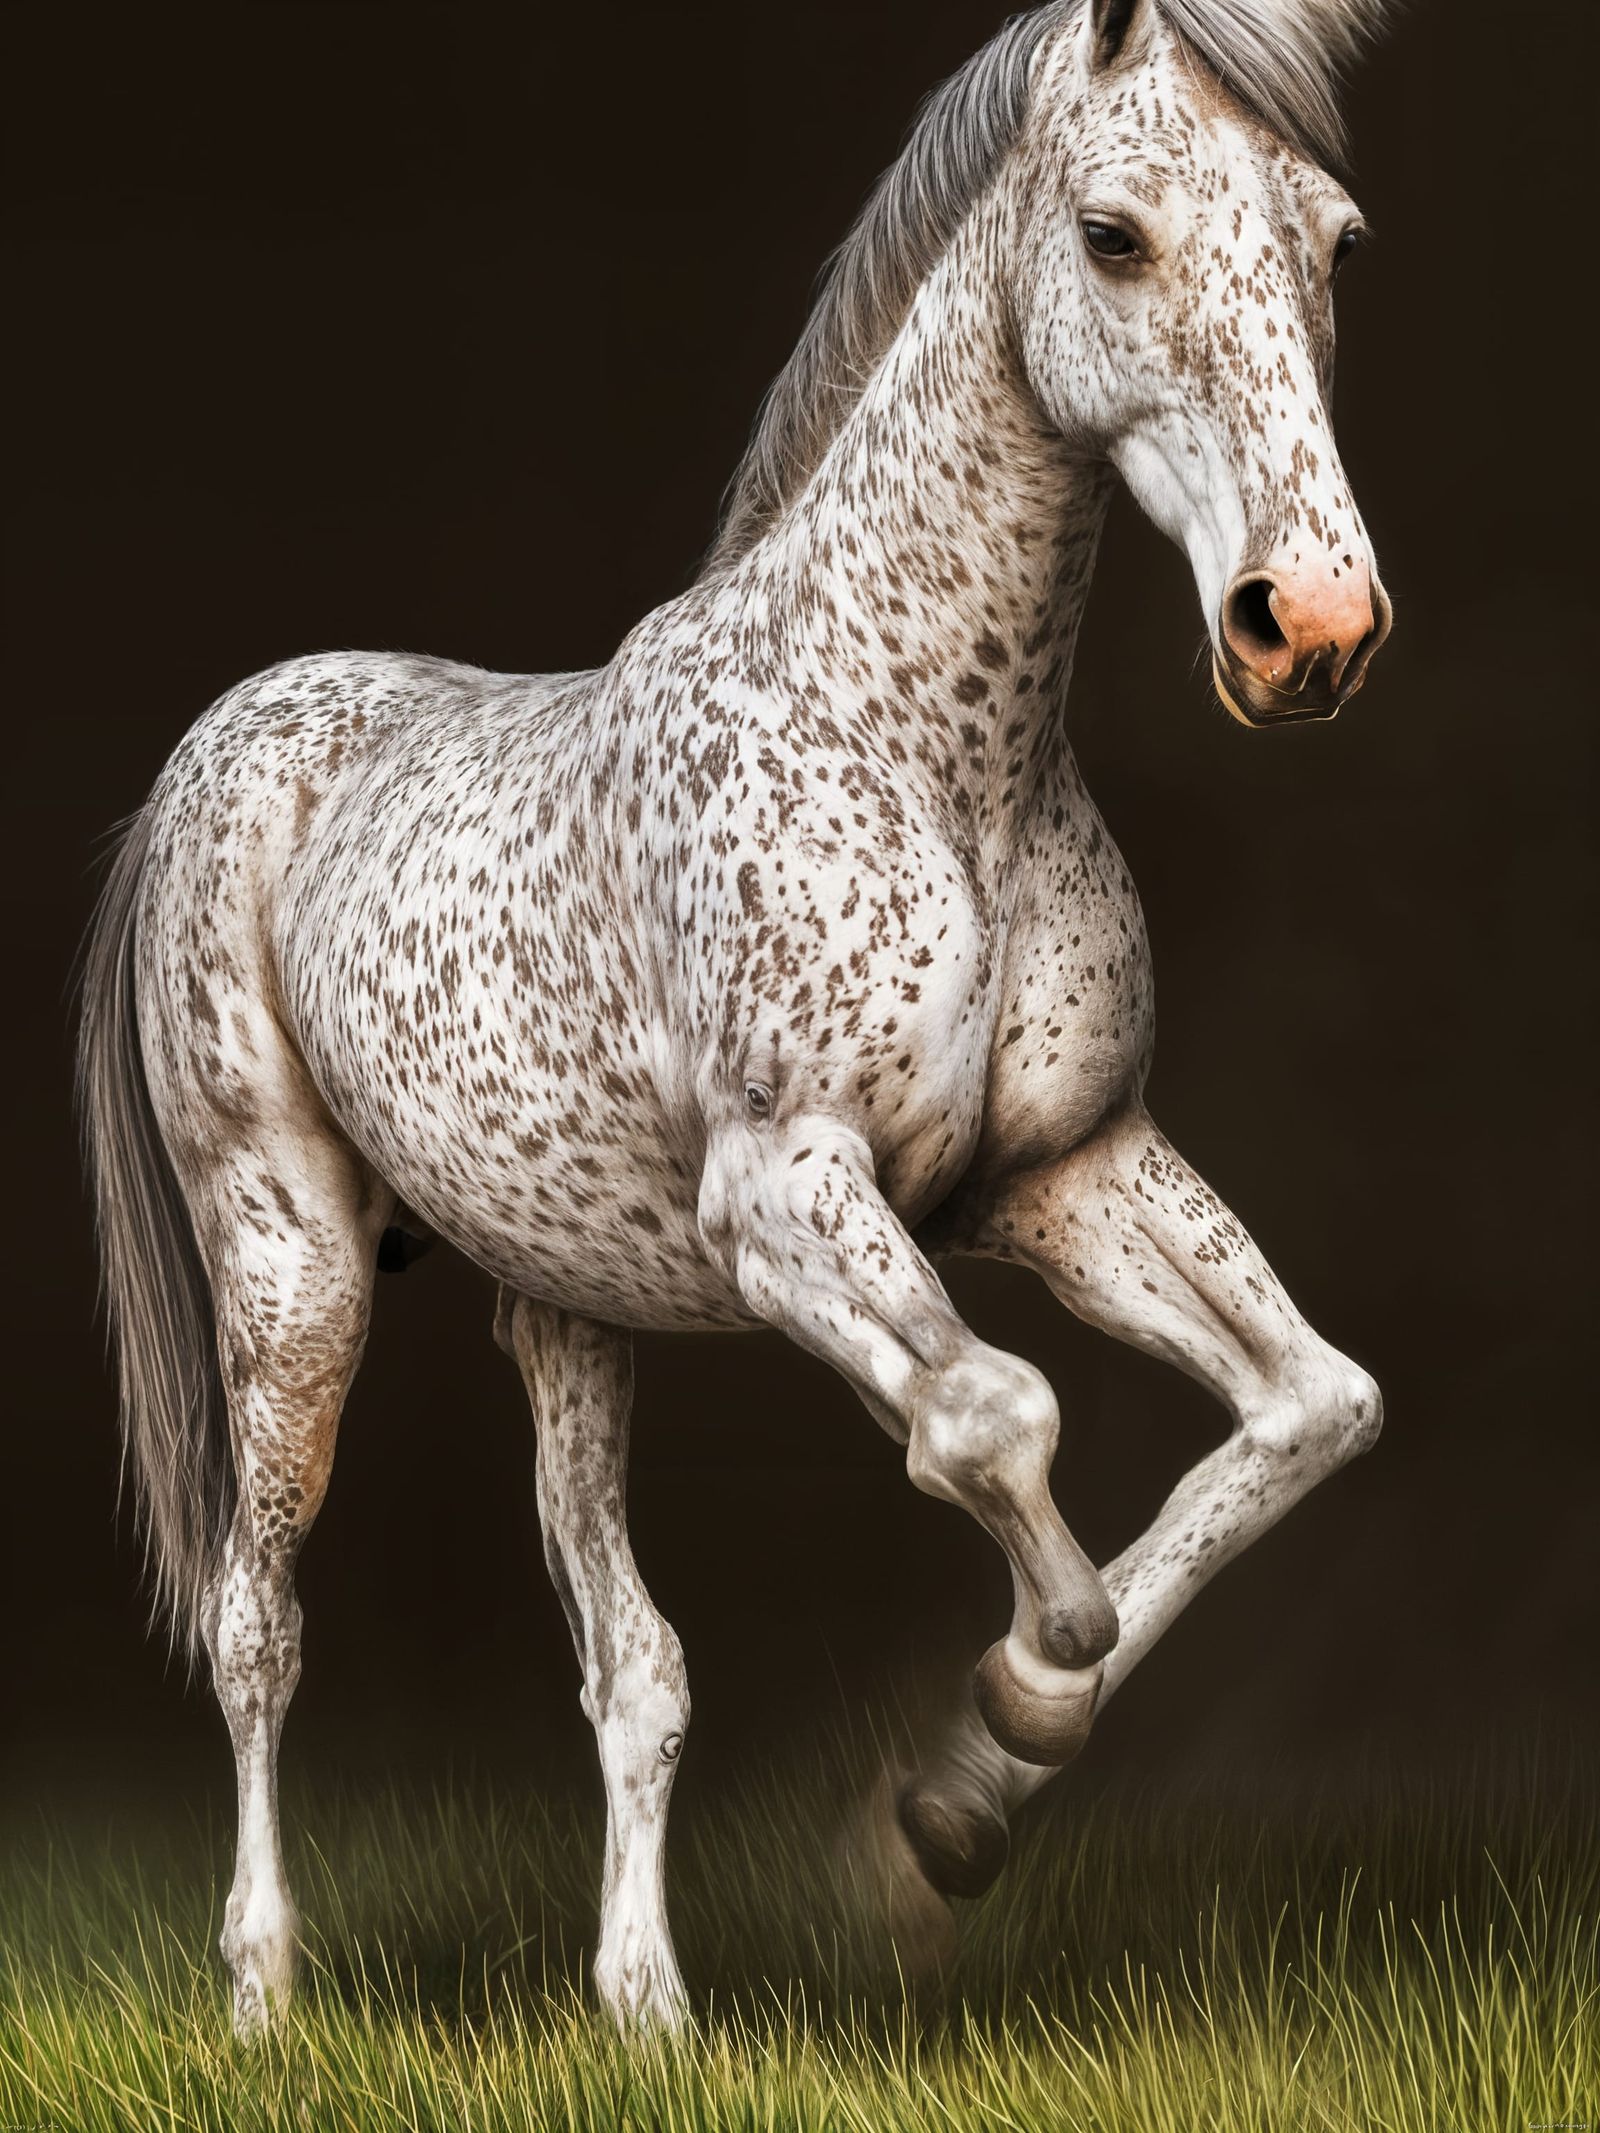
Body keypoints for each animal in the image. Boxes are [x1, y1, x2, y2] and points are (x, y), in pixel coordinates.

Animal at [78, 0, 1393, 2038]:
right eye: (1112, 236)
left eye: (1334, 239)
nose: (1308, 626)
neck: (929, 752)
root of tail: (223, 742)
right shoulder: (782, 1197)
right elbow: (996, 1416)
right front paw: (1014, 1709)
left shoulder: (1069, 1175)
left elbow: (1311, 1406)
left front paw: (970, 1791)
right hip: (285, 1264)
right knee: (255, 1621)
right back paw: (263, 1999)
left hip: (564, 1311)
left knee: (632, 1661)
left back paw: (645, 2010)